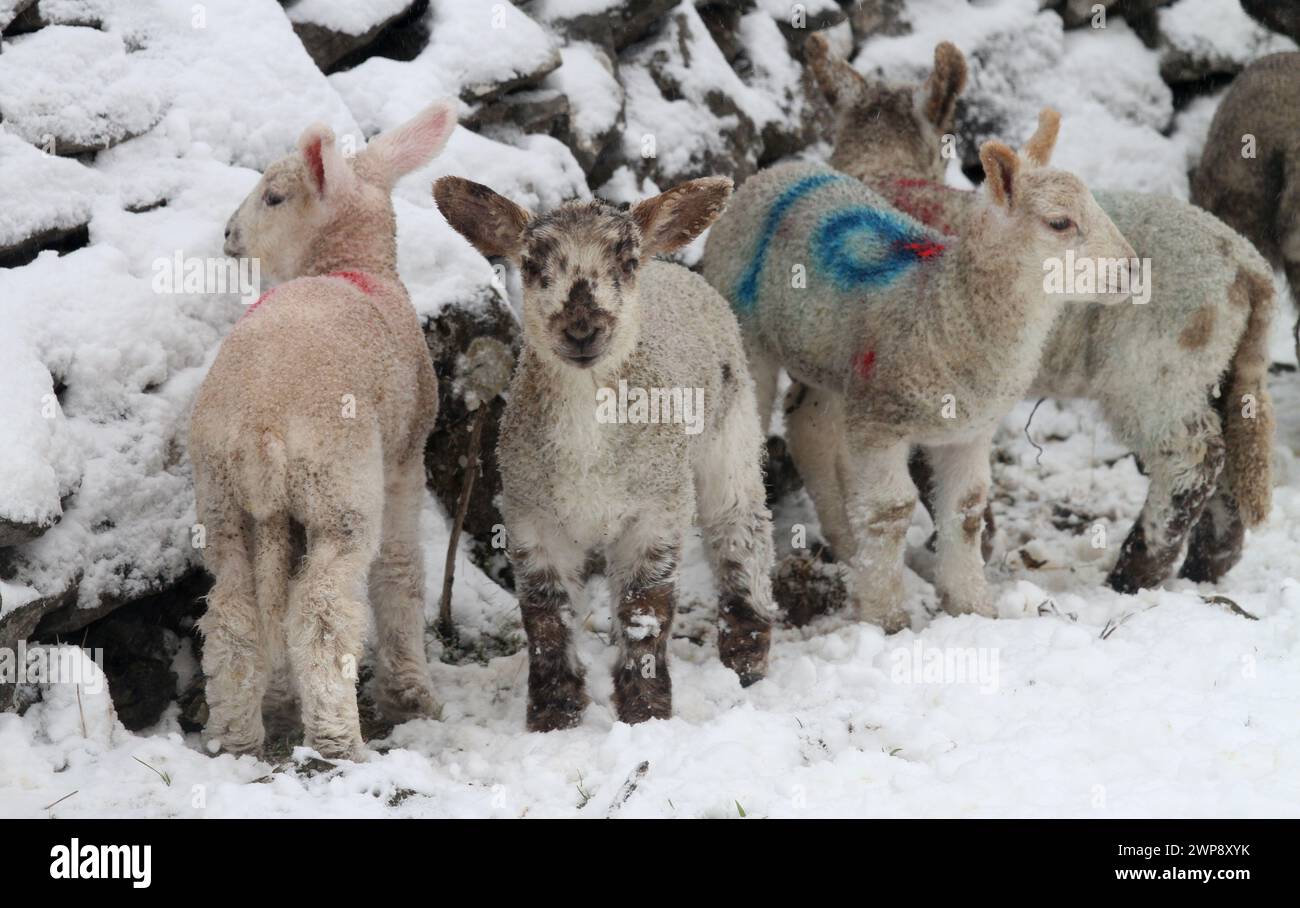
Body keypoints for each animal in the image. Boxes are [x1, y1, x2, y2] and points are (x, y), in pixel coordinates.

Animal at [431, 175, 774, 728]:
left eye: (627, 262)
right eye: (531, 265)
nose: (582, 329)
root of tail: (676, 270)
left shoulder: (655, 510)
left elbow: (644, 611)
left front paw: (646, 710)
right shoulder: (532, 516)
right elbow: (546, 616)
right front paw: (554, 714)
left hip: (731, 426)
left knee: (741, 530)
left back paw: (746, 655)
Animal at [702, 107, 1138, 629]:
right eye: (1059, 222)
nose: (1132, 269)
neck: (942, 309)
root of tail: (774, 173)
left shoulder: (969, 429)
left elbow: (966, 509)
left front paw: (972, 606)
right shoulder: (879, 422)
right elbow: (891, 508)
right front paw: (885, 616)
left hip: (830, 357)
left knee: (810, 429)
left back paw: (846, 544)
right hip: (749, 334)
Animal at [795, 35, 1274, 590]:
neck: (888, 174)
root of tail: (1246, 264)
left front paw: (960, 545)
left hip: (1157, 366)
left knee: (1192, 457)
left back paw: (1135, 571)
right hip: (1215, 360)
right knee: (1233, 449)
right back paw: (1208, 564)